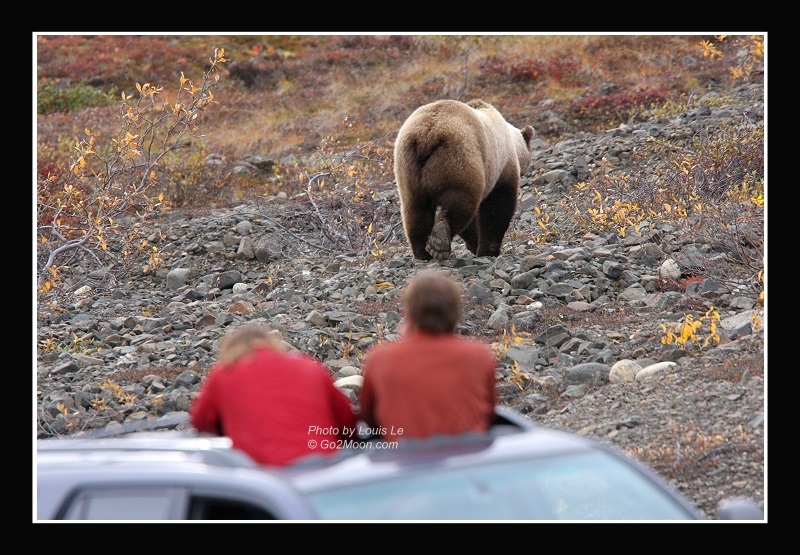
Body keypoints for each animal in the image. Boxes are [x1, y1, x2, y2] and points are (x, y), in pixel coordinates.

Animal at [393, 99, 535, 260]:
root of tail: (427, 135)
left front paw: (475, 244)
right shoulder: (500, 167)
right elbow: (498, 206)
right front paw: (489, 250)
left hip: (408, 166)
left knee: (415, 209)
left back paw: (423, 252)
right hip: (459, 157)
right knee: (462, 200)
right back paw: (440, 240)